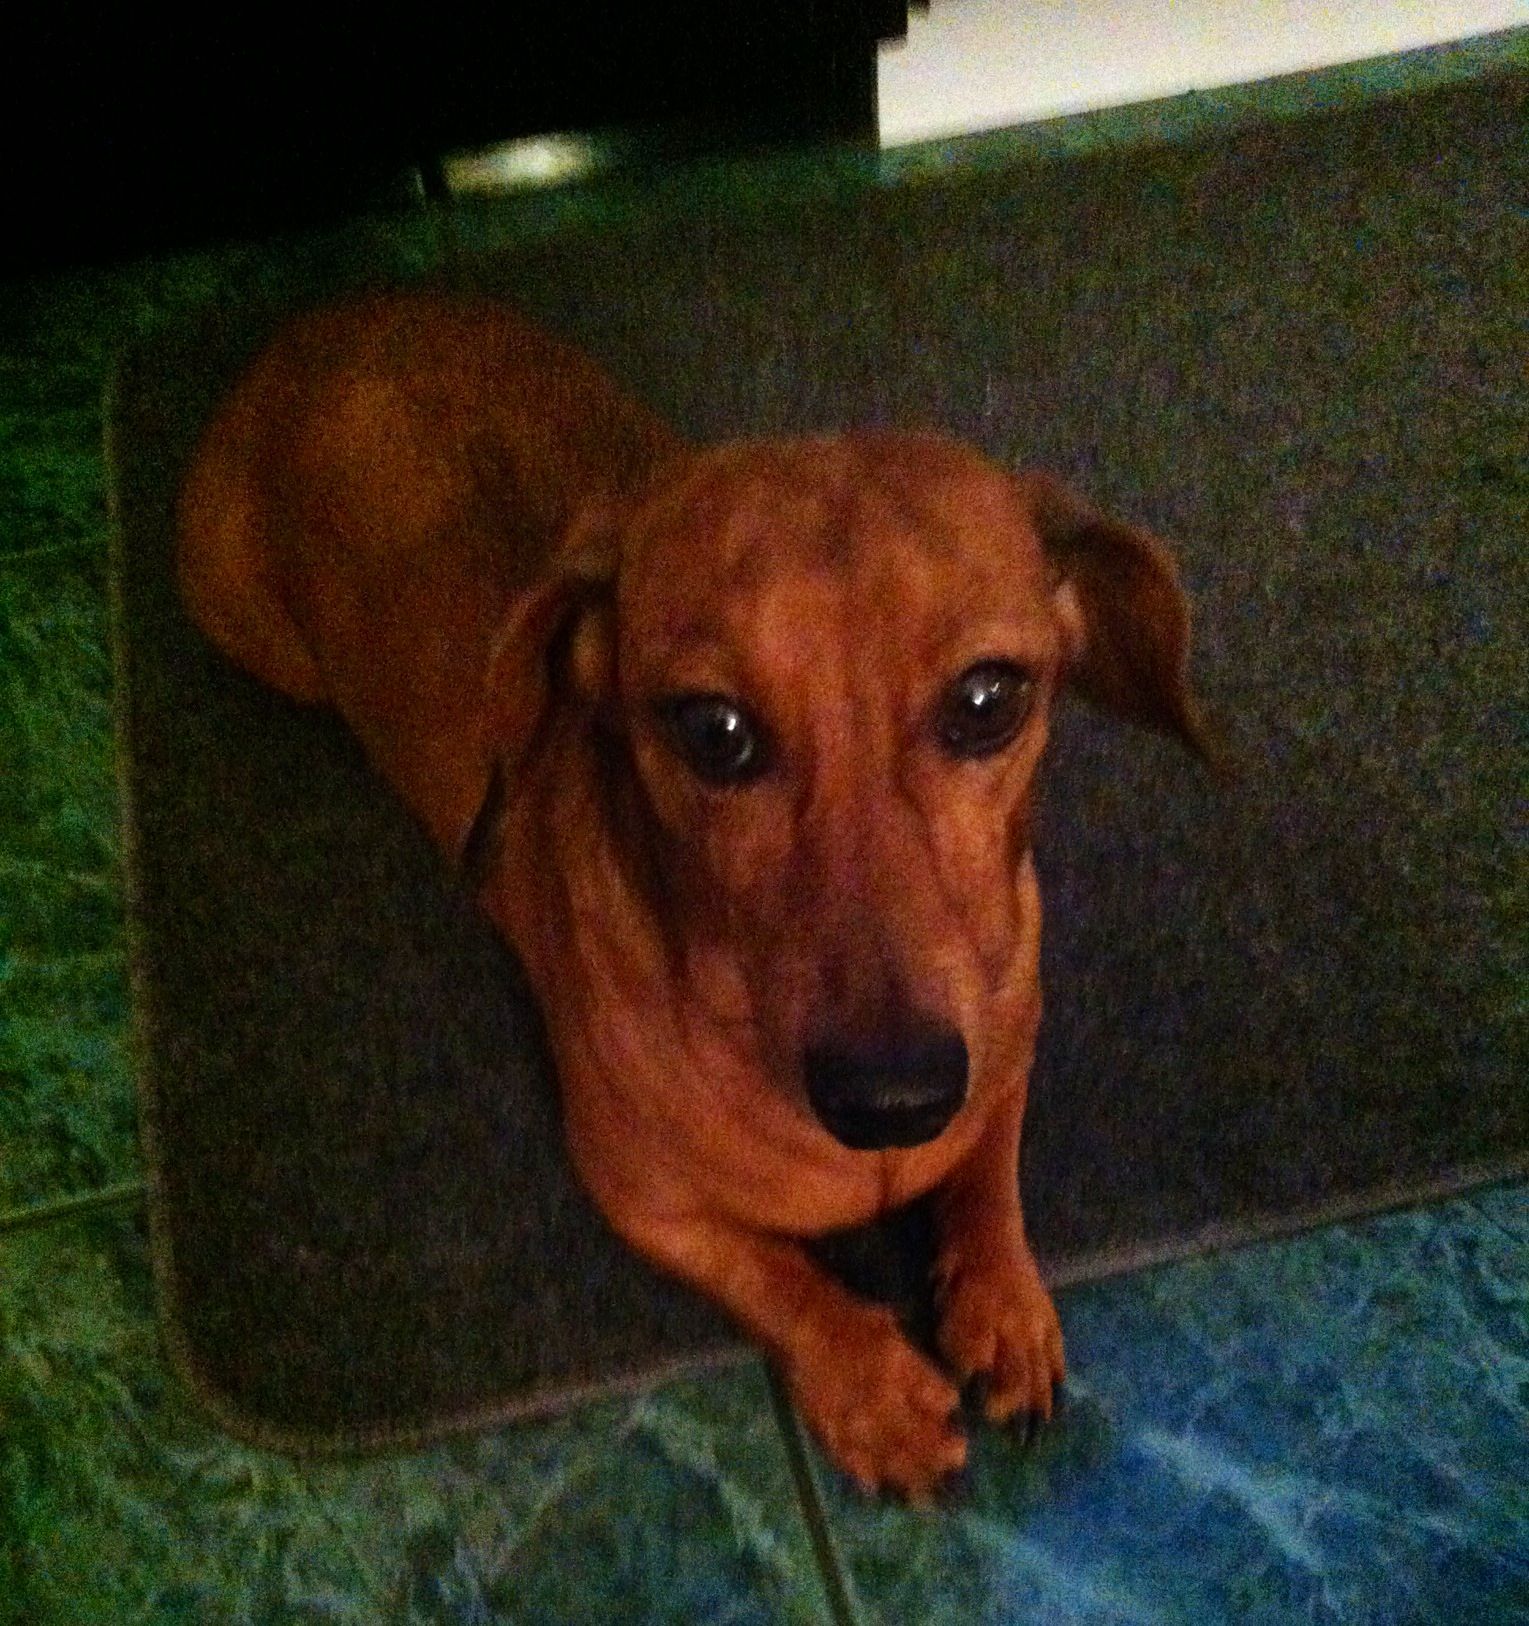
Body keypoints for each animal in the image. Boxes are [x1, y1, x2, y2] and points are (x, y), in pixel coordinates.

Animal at [178, 295, 1203, 1495]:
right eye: (713, 731)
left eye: (988, 699)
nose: (893, 1099)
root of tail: (324, 320)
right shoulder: (638, 1196)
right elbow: (781, 1281)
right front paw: (873, 1390)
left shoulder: (1006, 1051)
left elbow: (989, 1177)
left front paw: (1001, 1306)